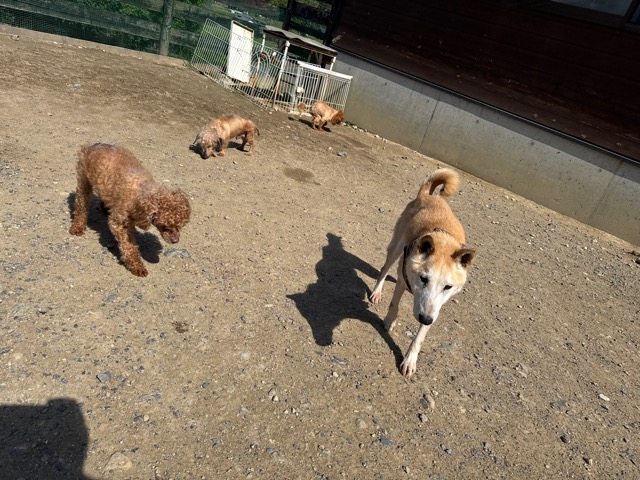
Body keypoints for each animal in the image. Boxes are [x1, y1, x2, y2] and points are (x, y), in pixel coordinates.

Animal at [69, 143, 191, 277]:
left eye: (180, 226)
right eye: (164, 226)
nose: (175, 241)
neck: (141, 194)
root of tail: (94, 145)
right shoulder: (118, 224)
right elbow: (129, 247)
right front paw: (137, 266)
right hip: (83, 181)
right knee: (81, 205)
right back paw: (77, 227)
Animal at [370, 168, 476, 377]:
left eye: (448, 287)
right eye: (423, 279)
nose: (425, 319)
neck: (443, 242)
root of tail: (428, 195)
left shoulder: (435, 307)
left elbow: (419, 337)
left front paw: (410, 360)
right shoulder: (403, 279)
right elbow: (394, 304)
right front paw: (389, 321)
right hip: (396, 247)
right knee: (384, 269)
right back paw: (377, 291)